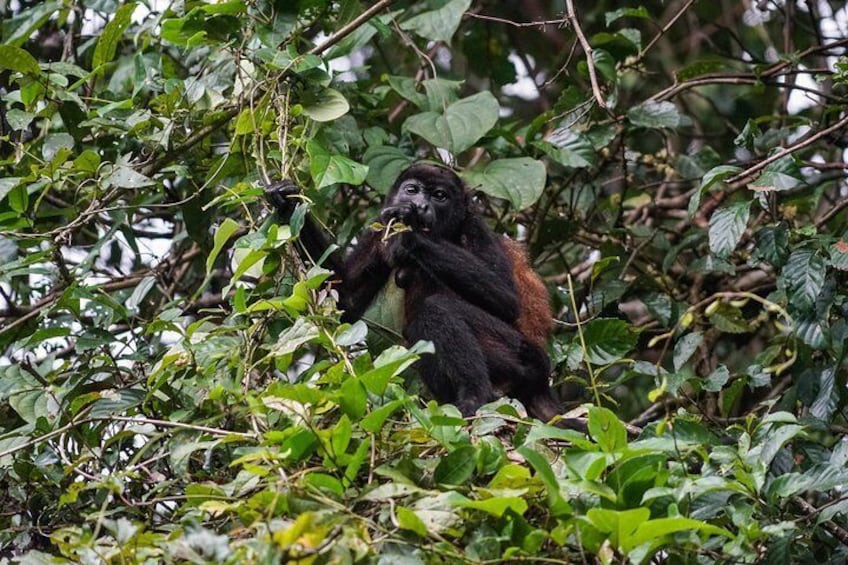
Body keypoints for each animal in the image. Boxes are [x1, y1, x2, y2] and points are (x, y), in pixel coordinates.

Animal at [266, 161, 564, 420]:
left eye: (440, 196)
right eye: (412, 190)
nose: (420, 205)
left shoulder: (474, 227)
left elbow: (507, 300)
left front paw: (409, 236)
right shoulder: (379, 226)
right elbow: (345, 300)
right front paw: (288, 201)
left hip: (524, 356)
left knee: (436, 309)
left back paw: (475, 397)